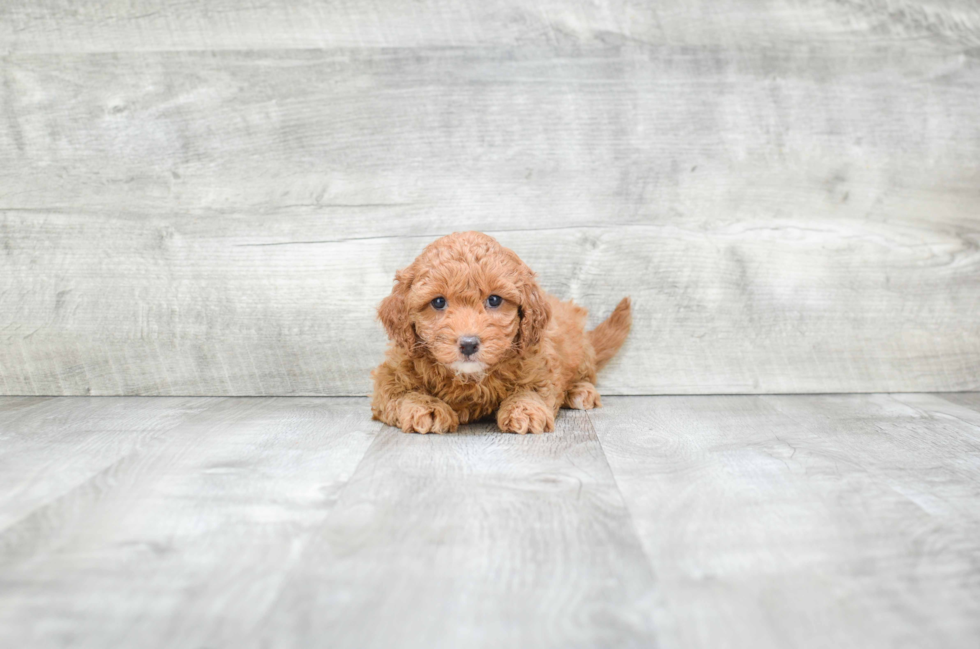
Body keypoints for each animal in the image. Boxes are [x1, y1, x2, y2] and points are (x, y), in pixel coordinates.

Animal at [372, 230, 632, 432]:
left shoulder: (539, 363)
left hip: (579, 351)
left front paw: (525, 409)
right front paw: (427, 408)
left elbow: (533, 389)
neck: (468, 378)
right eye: (438, 302)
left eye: (494, 300)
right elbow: (402, 393)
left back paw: (580, 391)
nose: (468, 344)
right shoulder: (391, 373)